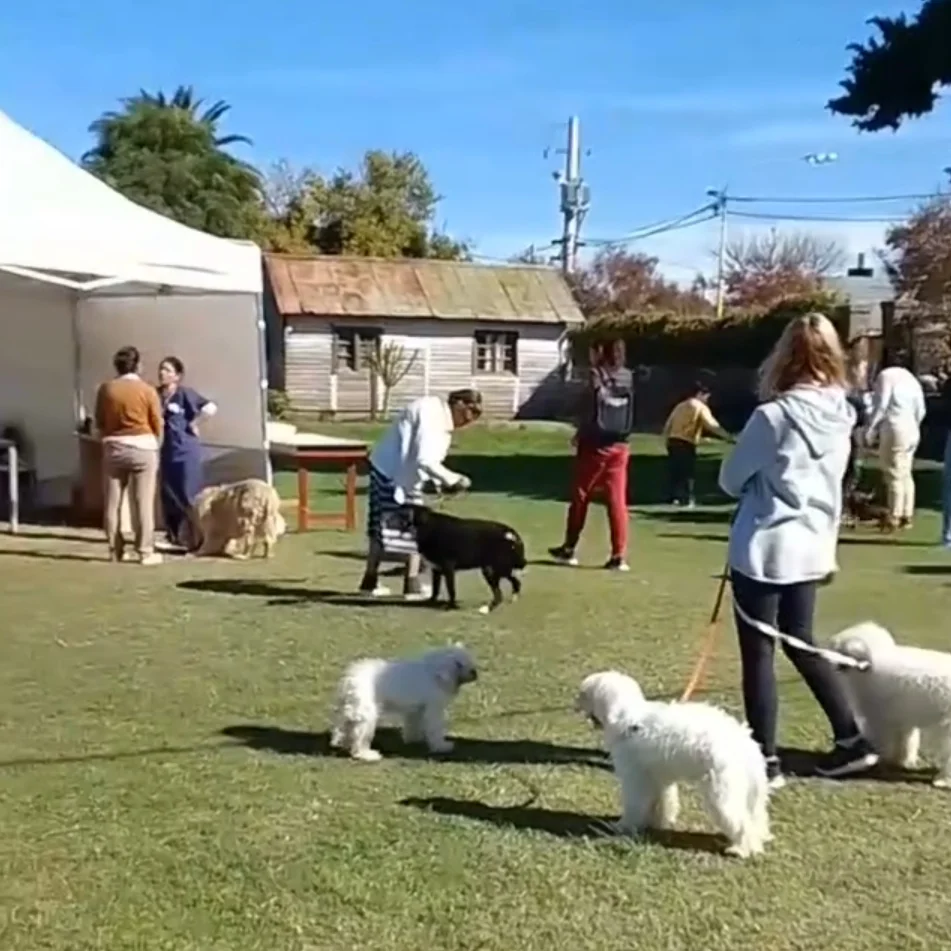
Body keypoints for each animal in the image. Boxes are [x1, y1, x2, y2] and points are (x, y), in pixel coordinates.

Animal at [330, 644, 480, 764]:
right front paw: (441, 746)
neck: (435, 673)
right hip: (367, 715)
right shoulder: (434, 710)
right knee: (360, 738)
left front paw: (414, 739)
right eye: (459, 664)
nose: (474, 672)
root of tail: (349, 681)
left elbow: (413, 726)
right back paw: (368, 755)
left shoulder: (416, 710)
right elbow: (435, 729)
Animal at [386, 506, 528, 608]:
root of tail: (510, 533)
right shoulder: (436, 569)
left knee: (506, 588)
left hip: (495, 569)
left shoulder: (448, 568)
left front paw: (450, 606)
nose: (384, 518)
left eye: (400, 514)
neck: (427, 527)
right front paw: (431, 601)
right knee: (510, 585)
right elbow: (435, 590)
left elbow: (451, 590)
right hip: (495, 569)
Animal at [576, 668, 768, 864]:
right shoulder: (658, 779)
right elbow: (663, 802)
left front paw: (624, 826)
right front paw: (659, 822)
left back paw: (741, 849)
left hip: (722, 791)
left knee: (741, 821)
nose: (575, 705)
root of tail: (744, 740)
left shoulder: (635, 778)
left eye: (583, 694)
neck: (628, 719)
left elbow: (635, 804)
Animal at [828, 620, 951, 784]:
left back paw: (943, 780)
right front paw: (902, 760)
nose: (831, 643)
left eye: (840, 648)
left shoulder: (881, 720)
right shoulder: (901, 717)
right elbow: (906, 741)